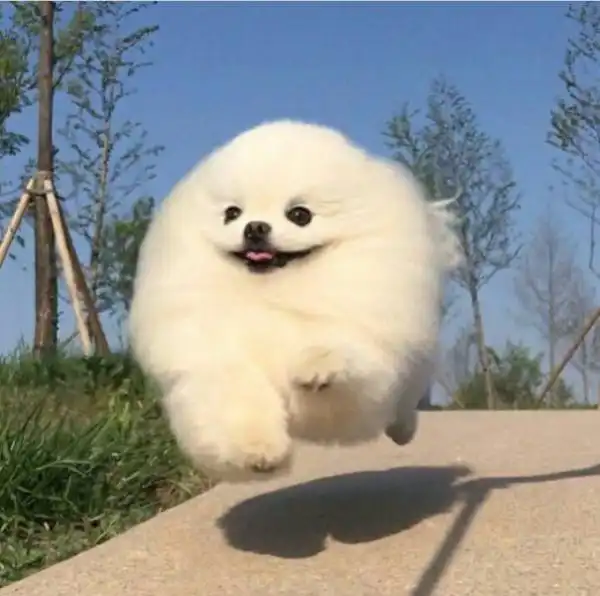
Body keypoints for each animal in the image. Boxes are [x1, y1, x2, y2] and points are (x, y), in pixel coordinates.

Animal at [128, 120, 461, 482]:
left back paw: (403, 430)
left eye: (300, 215)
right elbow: (237, 401)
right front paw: (258, 451)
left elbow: (338, 355)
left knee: (405, 401)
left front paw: (318, 366)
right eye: (232, 213)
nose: (255, 227)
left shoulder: (360, 351)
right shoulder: (217, 359)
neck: (272, 295)